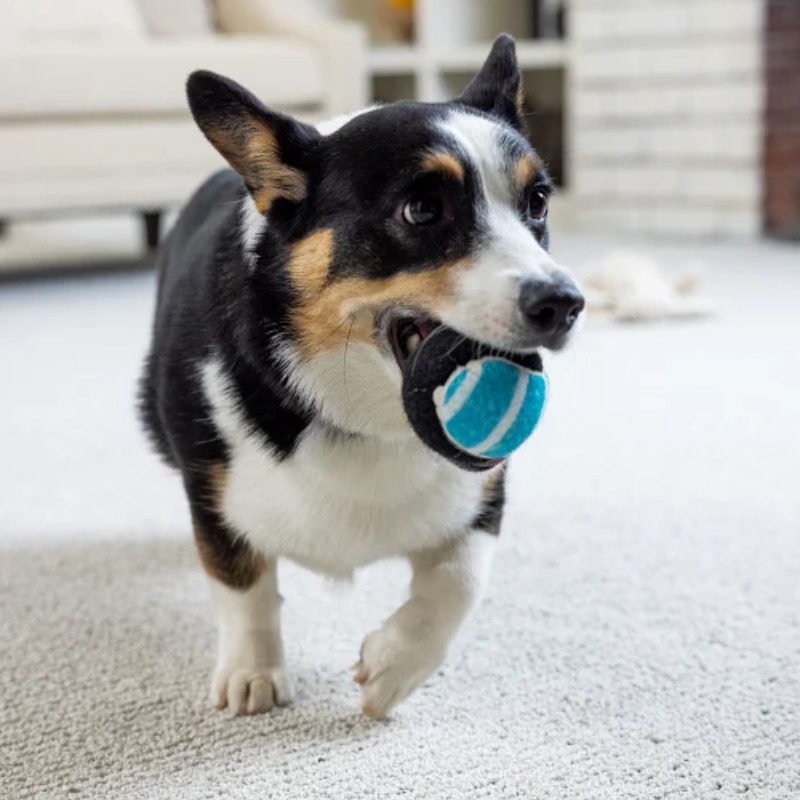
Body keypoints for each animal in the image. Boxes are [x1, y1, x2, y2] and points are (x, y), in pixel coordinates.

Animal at [141, 34, 584, 720]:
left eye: (537, 203)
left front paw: (393, 670)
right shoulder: (211, 484)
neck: (363, 415)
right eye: (421, 209)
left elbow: (460, 580)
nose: (565, 303)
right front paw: (252, 673)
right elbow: (241, 580)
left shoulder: (484, 494)